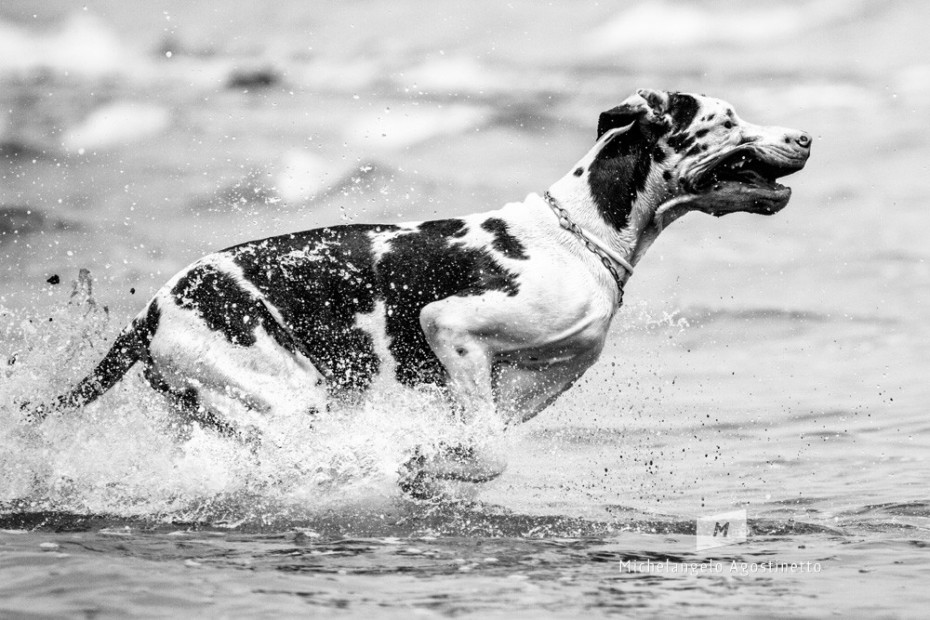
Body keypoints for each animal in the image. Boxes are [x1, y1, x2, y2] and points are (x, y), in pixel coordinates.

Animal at [32, 89, 808, 482]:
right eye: (727, 120)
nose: (804, 137)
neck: (579, 233)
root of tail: (151, 314)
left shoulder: (539, 373)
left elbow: (484, 434)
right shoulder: (450, 328)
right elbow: (487, 451)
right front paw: (427, 463)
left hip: (217, 406)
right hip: (285, 394)